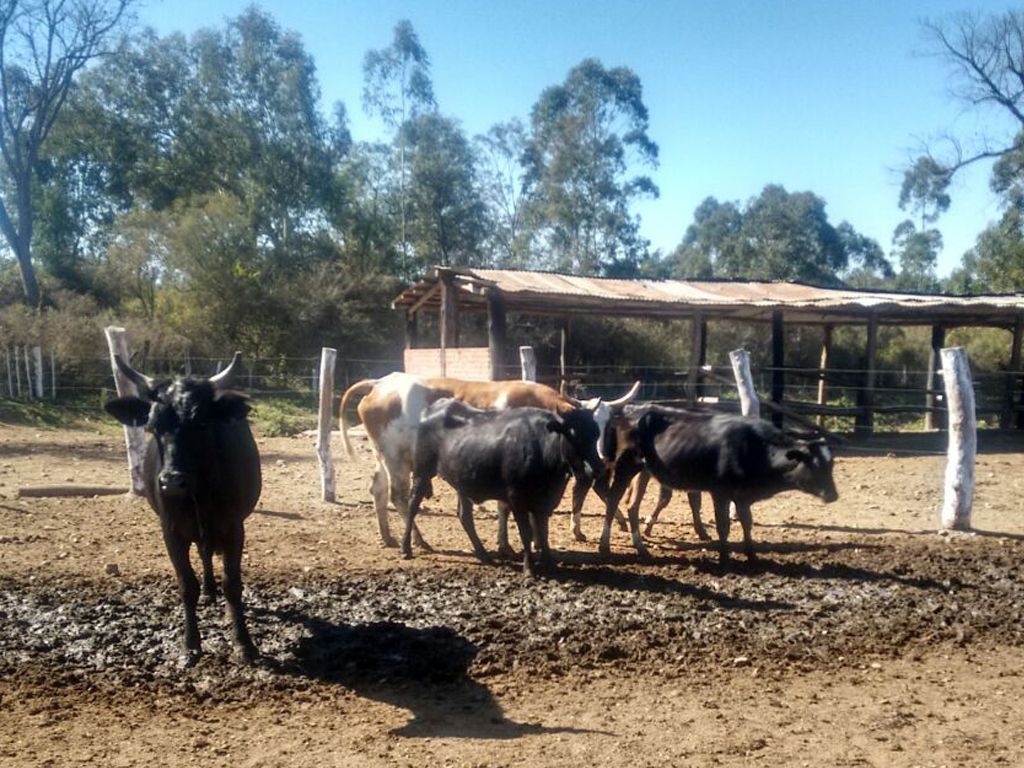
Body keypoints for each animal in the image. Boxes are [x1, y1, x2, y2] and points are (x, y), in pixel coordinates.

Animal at [104, 353, 262, 665]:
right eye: (153, 427)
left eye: (202, 424)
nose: (172, 481)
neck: (197, 493)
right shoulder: (171, 531)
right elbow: (187, 585)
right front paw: (190, 644)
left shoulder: (234, 527)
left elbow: (232, 584)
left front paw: (243, 643)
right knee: (203, 554)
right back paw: (208, 593)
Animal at [339, 373, 638, 554]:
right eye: (578, 431)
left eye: (605, 427)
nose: (602, 461)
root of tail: (380, 383)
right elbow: (505, 507)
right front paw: (507, 545)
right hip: (398, 459)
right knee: (399, 496)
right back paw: (418, 541)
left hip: (383, 457)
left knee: (378, 490)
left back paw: (388, 536)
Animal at [403, 398, 607, 576]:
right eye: (573, 435)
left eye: (596, 433)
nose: (597, 468)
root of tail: (435, 407)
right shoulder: (516, 498)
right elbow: (527, 533)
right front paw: (529, 569)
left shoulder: (544, 501)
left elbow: (543, 532)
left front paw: (550, 563)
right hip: (422, 472)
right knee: (412, 506)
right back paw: (406, 548)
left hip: (462, 481)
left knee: (464, 516)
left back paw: (483, 555)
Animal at [600, 404, 838, 563]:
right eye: (813, 464)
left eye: (830, 464)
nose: (833, 495)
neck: (753, 447)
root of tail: (629, 413)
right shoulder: (720, 492)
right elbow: (723, 525)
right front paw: (724, 556)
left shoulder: (742, 496)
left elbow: (746, 522)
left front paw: (751, 554)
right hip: (624, 467)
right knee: (612, 501)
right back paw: (605, 546)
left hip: (642, 472)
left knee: (632, 507)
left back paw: (641, 548)